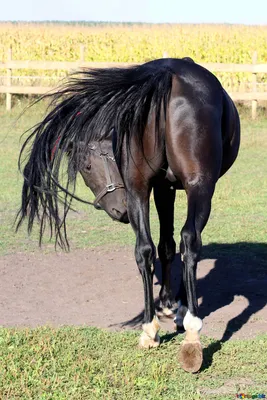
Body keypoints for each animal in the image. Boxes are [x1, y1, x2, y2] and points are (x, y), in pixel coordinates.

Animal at [16, 57, 241, 374]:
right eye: (86, 167)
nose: (119, 209)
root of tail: (168, 74)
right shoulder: (172, 188)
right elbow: (178, 245)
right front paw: (178, 307)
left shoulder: (160, 187)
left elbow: (164, 246)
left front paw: (167, 304)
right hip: (199, 187)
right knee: (190, 241)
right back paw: (192, 337)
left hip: (138, 188)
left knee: (145, 249)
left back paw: (149, 329)